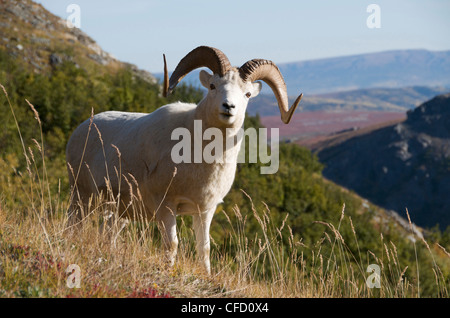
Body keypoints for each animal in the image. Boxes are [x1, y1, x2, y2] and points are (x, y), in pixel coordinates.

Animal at [66, 45, 302, 274]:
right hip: (81, 198)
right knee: (74, 225)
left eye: (247, 94)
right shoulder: (166, 207)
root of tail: (82, 128)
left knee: (107, 233)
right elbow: (172, 245)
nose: (228, 107)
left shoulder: (205, 211)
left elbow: (204, 248)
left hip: (115, 211)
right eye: (213, 86)